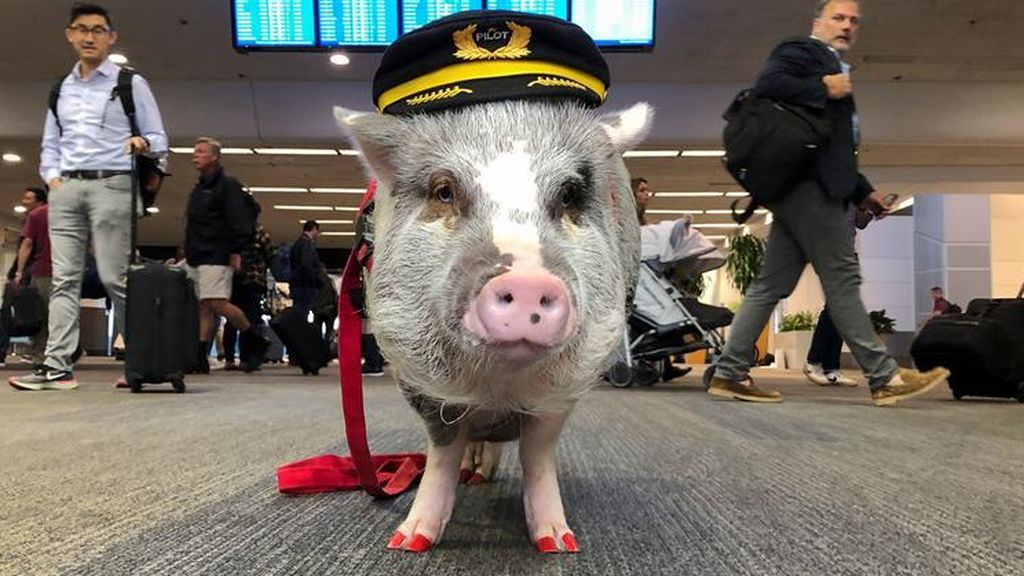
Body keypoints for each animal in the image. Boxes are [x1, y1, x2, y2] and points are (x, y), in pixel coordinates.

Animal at [335, 98, 652, 553]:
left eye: (569, 195)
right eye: (444, 190)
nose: (526, 282)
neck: (498, 384)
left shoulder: (564, 388)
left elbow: (537, 454)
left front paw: (557, 543)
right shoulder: (422, 384)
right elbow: (442, 454)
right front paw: (409, 542)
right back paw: (471, 476)